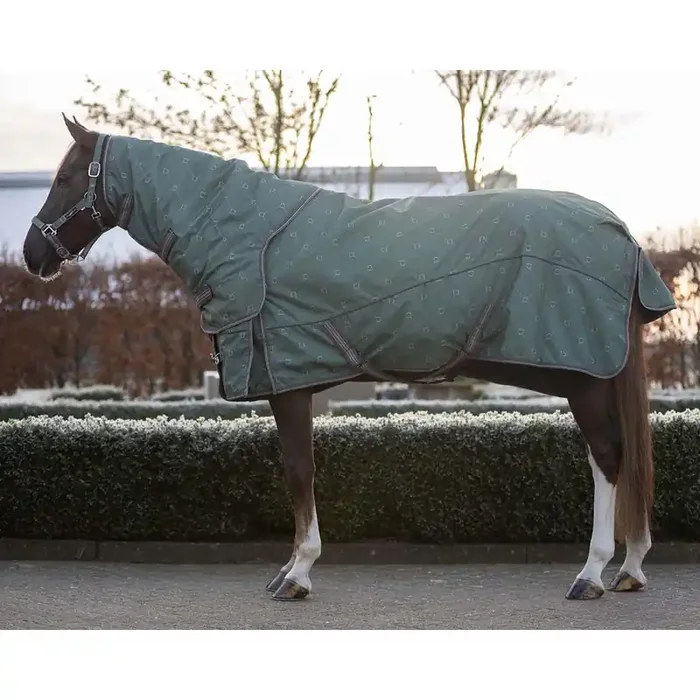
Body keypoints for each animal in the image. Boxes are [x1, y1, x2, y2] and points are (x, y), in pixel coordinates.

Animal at [22, 114, 676, 602]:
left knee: (608, 458)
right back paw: (629, 568)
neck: (243, 235)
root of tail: (621, 232)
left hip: (583, 376)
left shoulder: (287, 387)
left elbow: (298, 471)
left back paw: (592, 574)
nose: (32, 255)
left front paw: (297, 574)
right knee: (621, 458)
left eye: (66, 177)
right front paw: (291, 569)